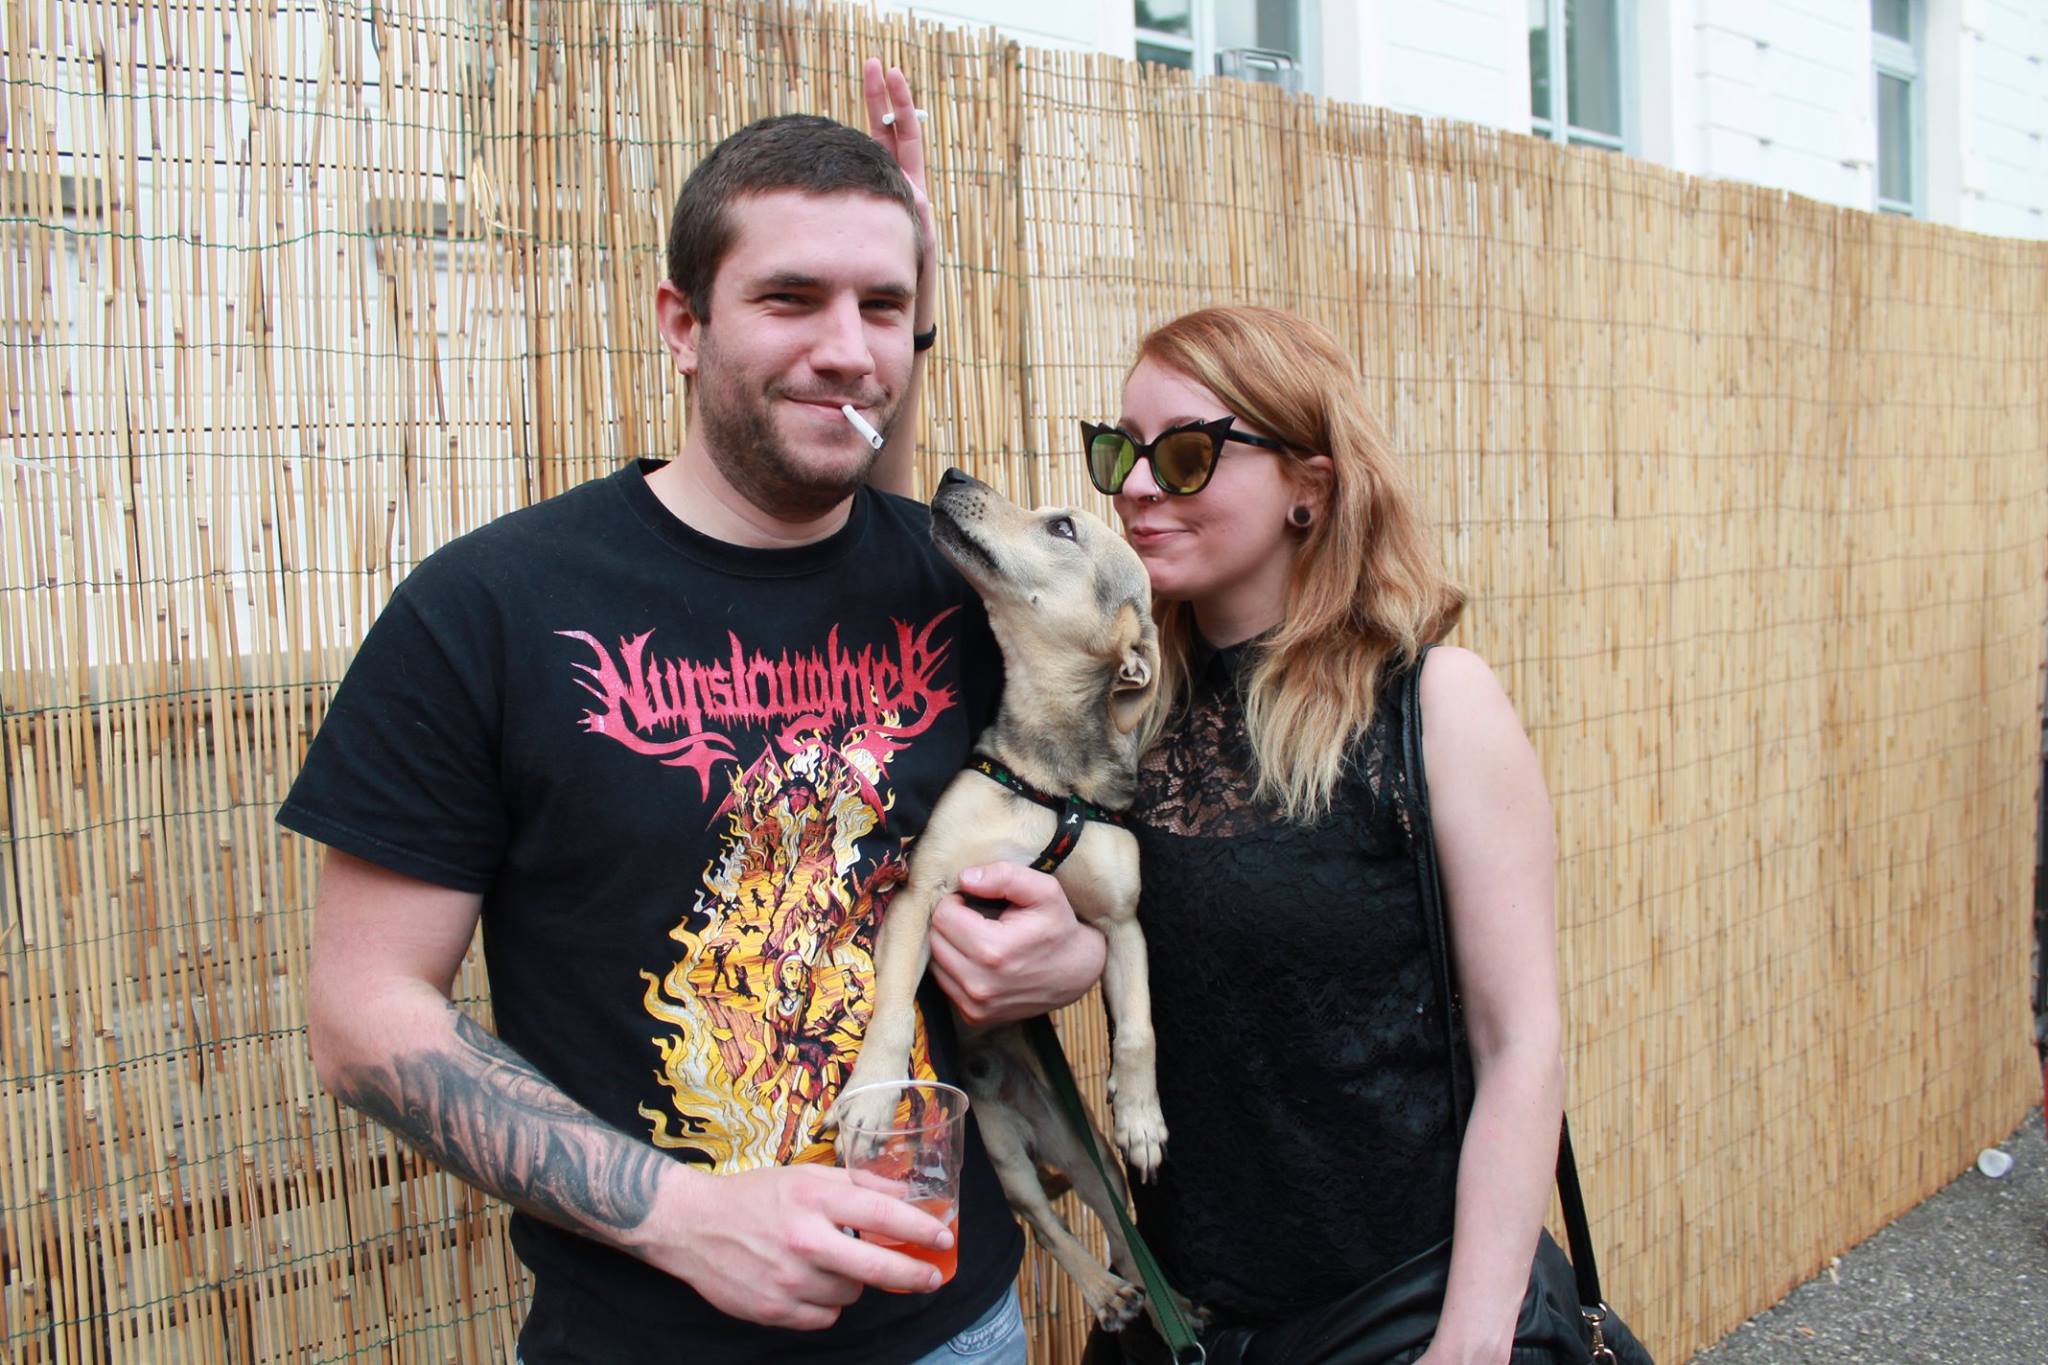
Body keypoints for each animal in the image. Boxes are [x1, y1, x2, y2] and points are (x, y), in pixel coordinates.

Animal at [834, 467, 1164, 1329]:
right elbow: (891, 1009)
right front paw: (873, 1097)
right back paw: (1103, 1290)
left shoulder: (1121, 923)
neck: (1051, 782)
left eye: (1063, 528)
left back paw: (1154, 1292)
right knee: (1046, 1222)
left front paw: (1143, 1115)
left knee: (1113, 1210)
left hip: (1083, 1150)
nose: (952, 476)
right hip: (998, 1148)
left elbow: (1139, 1030)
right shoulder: (925, 893)